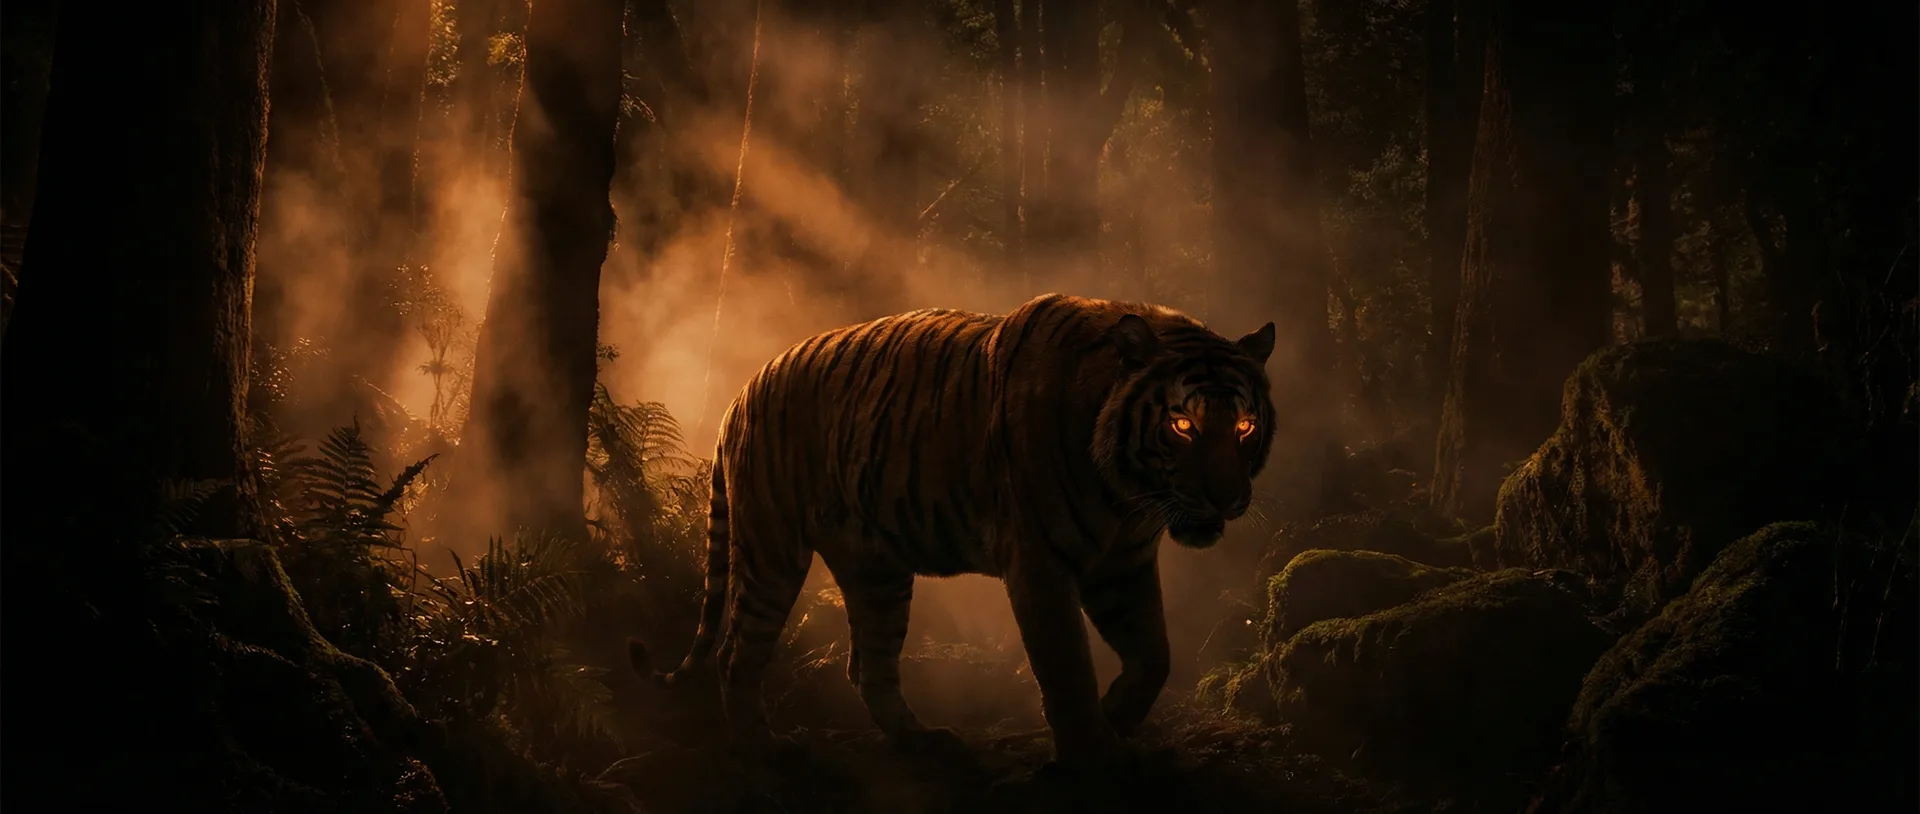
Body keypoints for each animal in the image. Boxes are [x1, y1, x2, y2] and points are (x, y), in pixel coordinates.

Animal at [628, 293, 1276, 768]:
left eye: (1244, 425)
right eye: (1184, 424)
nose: (1227, 497)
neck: (1128, 498)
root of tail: (742, 390)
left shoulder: (1123, 565)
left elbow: (1155, 656)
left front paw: (1115, 715)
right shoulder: (1039, 564)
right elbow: (1066, 664)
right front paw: (1091, 754)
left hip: (876, 570)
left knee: (868, 666)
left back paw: (922, 740)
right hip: (772, 549)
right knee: (737, 650)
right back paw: (761, 747)